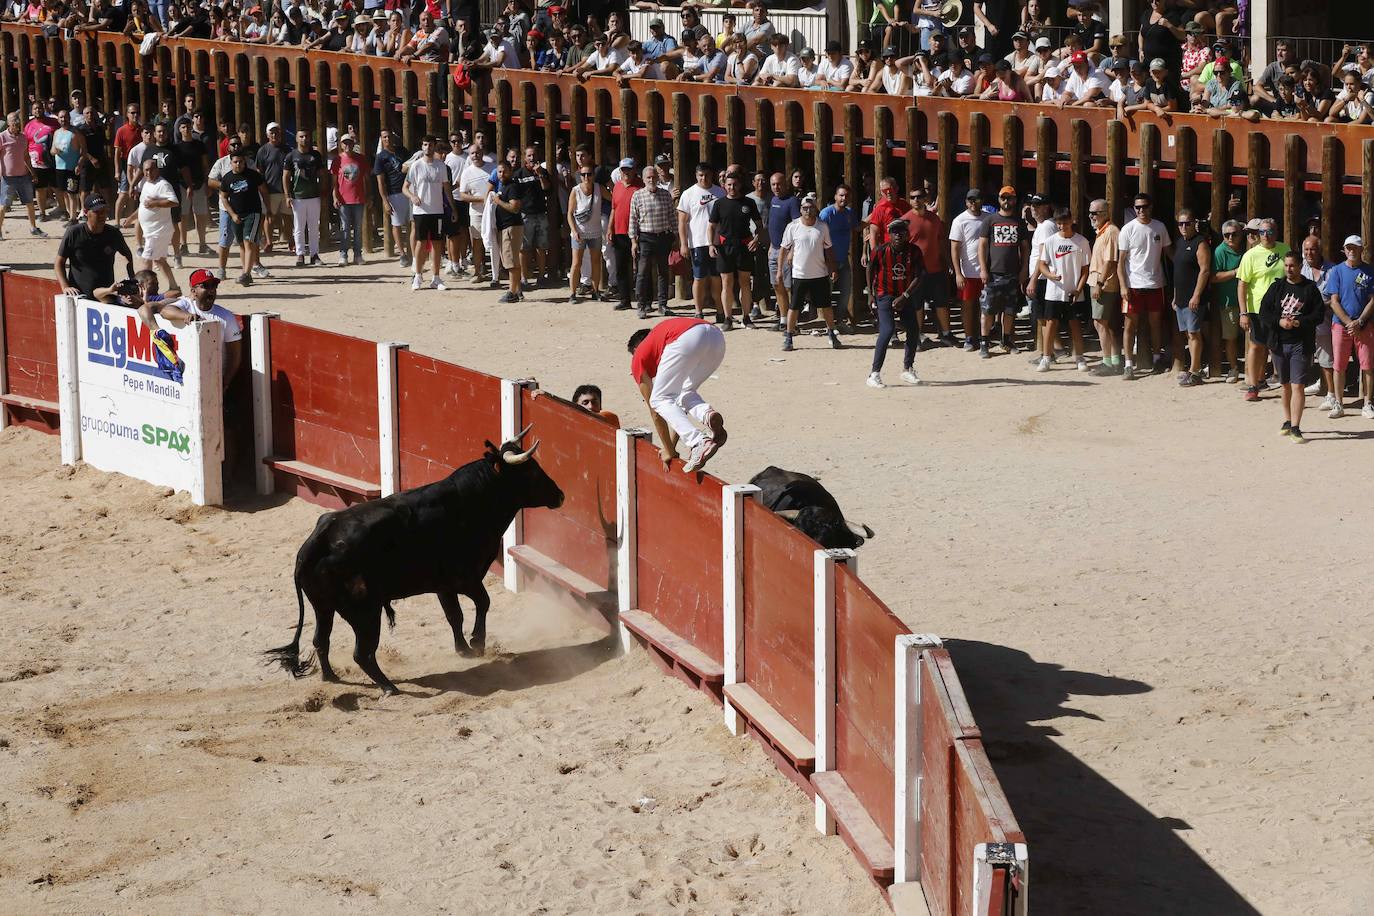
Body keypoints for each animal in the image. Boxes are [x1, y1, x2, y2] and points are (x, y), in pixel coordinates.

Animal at [262, 431, 563, 694]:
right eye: (530, 471)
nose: (560, 495)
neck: (473, 502)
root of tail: (316, 541)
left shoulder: (444, 586)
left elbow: (454, 615)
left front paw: (464, 649)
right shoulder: (465, 578)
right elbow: (483, 602)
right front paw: (477, 643)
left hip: (323, 607)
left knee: (321, 641)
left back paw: (331, 677)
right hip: (365, 611)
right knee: (362, 653)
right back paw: (388, 687)